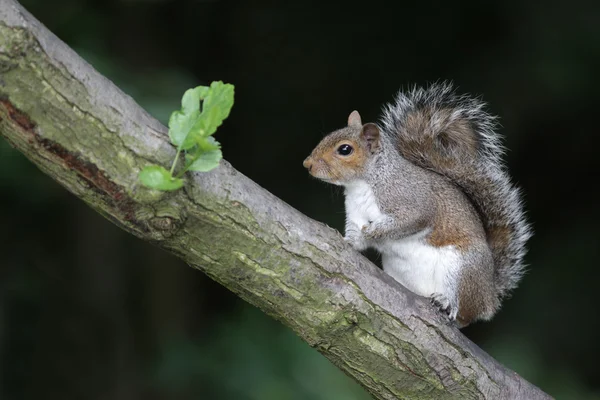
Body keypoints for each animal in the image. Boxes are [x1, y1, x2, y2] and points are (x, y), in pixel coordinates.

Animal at [304, 83, 528, 326]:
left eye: (345, 150)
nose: (307, 164)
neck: (363, 184)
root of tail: (489, 296)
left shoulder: (412, 201)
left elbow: (410, 221)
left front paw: (374, 232)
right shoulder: (355, 215)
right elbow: (356, 236)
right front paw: (348, 240)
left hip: (463, 269)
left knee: (463, 314)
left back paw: (446, 302)